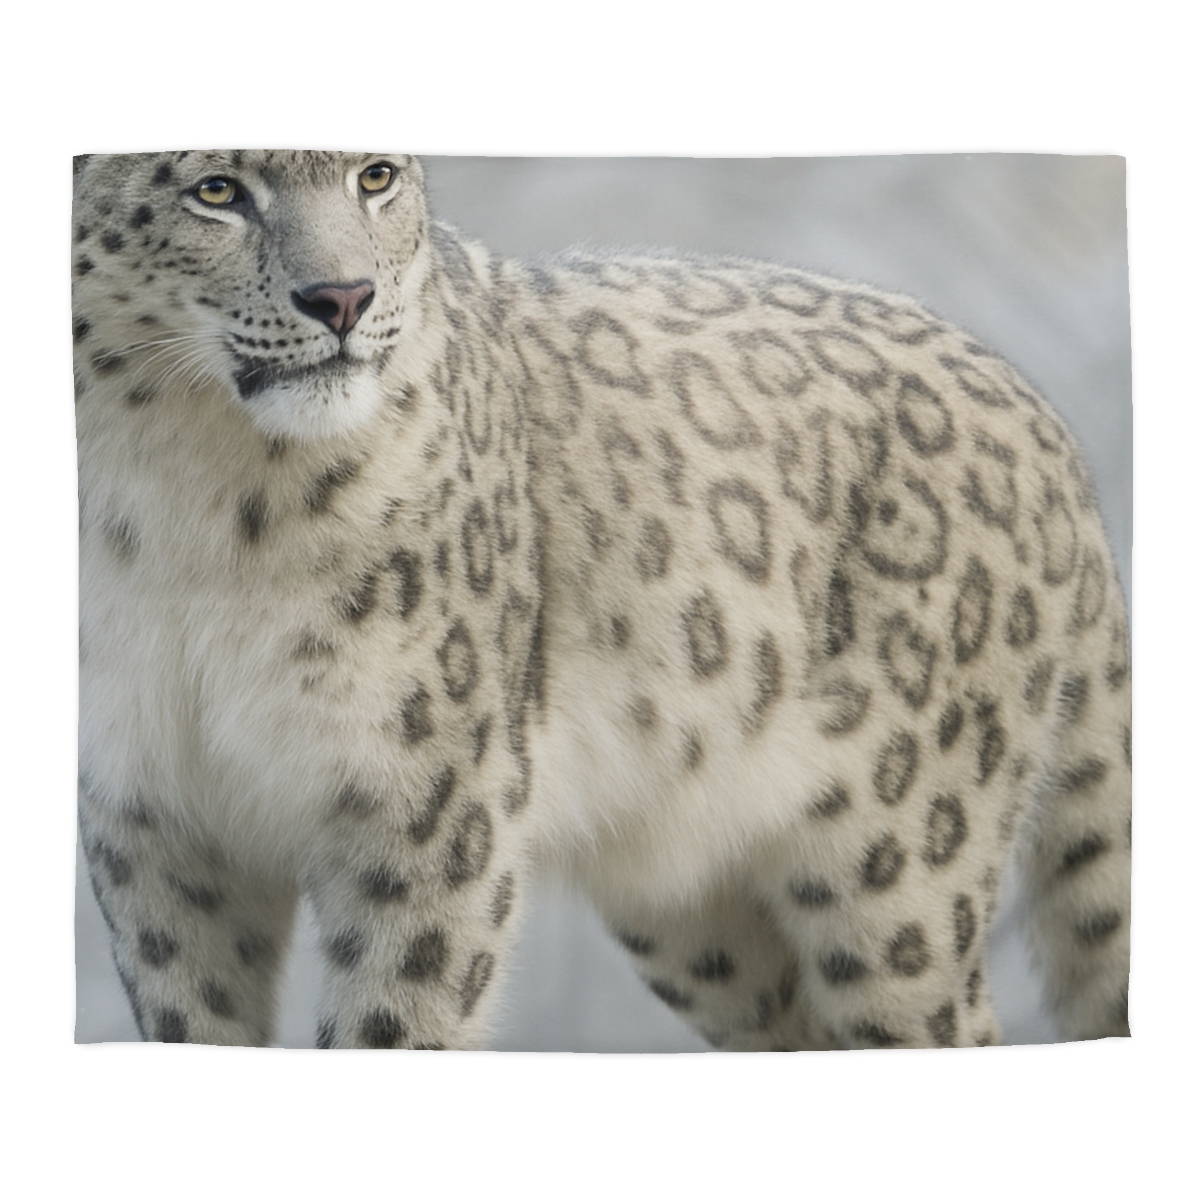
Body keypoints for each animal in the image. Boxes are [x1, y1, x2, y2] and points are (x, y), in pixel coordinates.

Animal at [73, 151, 1131, 1050]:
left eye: (374, 175)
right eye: (215, 189)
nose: (343, 298)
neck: (187, 498)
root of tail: (1048, 424)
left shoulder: (426, 801)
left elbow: (393, 1018)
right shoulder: (154, 816)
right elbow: (193, 1019)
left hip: (900, 869)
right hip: (696, 917)